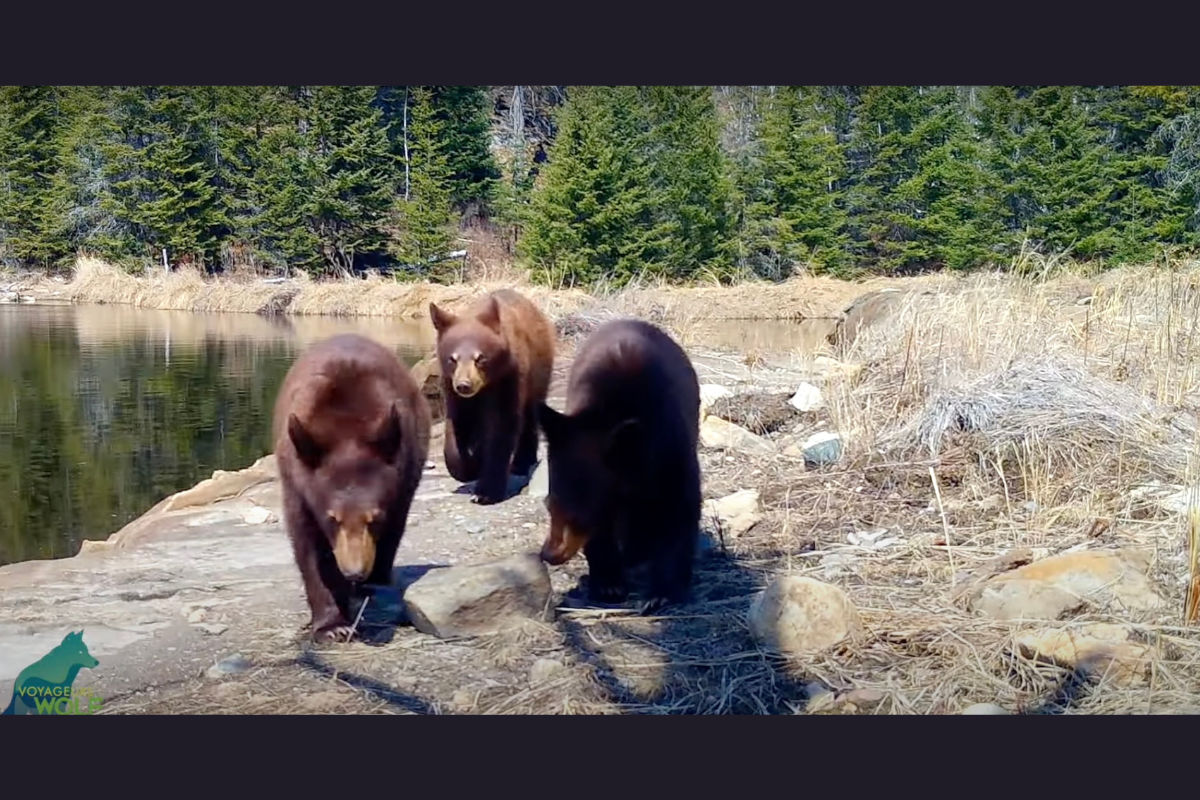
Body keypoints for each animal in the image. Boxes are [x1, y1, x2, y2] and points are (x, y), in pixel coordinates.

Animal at [272, 333, 431, 643]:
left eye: (375, 517)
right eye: (332, 518)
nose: (355, 572)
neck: (346, 426)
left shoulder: (403, 479)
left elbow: (392, 529)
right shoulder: (296, 483)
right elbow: (308, 547)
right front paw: (332, 625)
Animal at [428, 288, 555, 505]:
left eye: (480, 358)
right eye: (452, 359)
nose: (464, 385)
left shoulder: (509, 378)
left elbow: (501, 428)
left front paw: (485, 492)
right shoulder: (451, 390)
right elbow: (456, 425)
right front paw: (466, 467)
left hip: (539, 371)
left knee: (530, 415)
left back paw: (521, 463)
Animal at [535, 318, 702, 615]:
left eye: (579, 515)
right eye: (549, 505)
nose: (548, 554)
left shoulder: (673, 451)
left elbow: (680, 512)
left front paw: (661, 593)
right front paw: (608, 583)